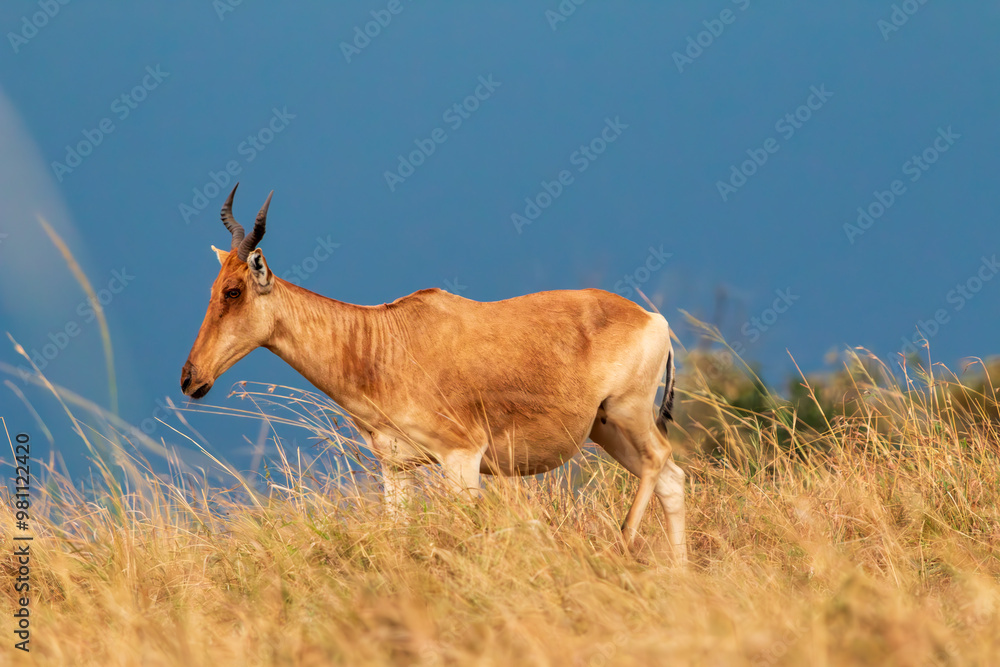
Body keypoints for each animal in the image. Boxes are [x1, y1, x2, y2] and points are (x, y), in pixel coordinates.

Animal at [181, 185, 686, 561]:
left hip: (628, 413)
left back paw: (623, 543)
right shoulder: (397, 467)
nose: (190, 379)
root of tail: (652, 318)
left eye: (233, 291)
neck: (385, 340)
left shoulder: (462, 459)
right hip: (605, 428)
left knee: (659, 460)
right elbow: (398, 534)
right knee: (672, 478)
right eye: (212, 287)